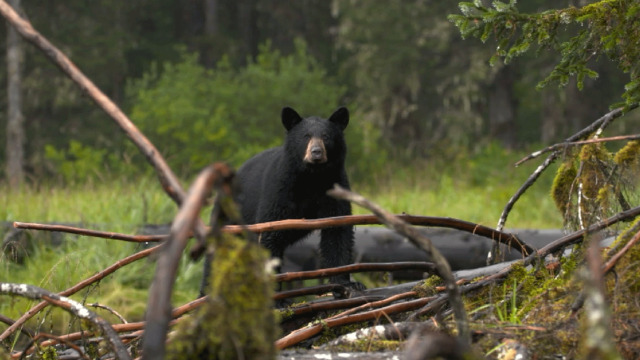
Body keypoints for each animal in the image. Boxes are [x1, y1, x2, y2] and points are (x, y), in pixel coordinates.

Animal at [230, 107, 360, 296]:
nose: (316, 152)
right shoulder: (280, 190)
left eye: (326, 136)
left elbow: (337, 231)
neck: (311, 177)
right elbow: (270, 233)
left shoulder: (335, 186)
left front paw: (346, 283)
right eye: (306, 136)